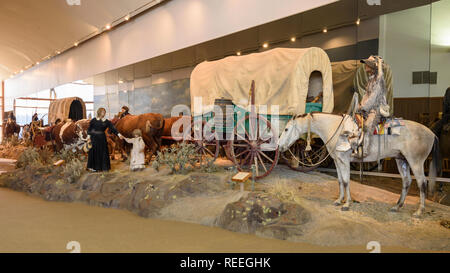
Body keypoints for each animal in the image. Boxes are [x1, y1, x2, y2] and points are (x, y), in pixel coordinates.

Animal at [278, 111, 440, 216]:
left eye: (286, 129)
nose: (279, 146)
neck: (336, 128)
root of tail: (432, 134)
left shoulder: (344, 161)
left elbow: (346, 181)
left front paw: (347, 204)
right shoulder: (337, 161)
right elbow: (340, 181)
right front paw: (339, 201)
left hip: (416, 162)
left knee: (422, 183)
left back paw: (419, 211)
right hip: (402, 160)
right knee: (406, 182)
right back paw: (397, 206)